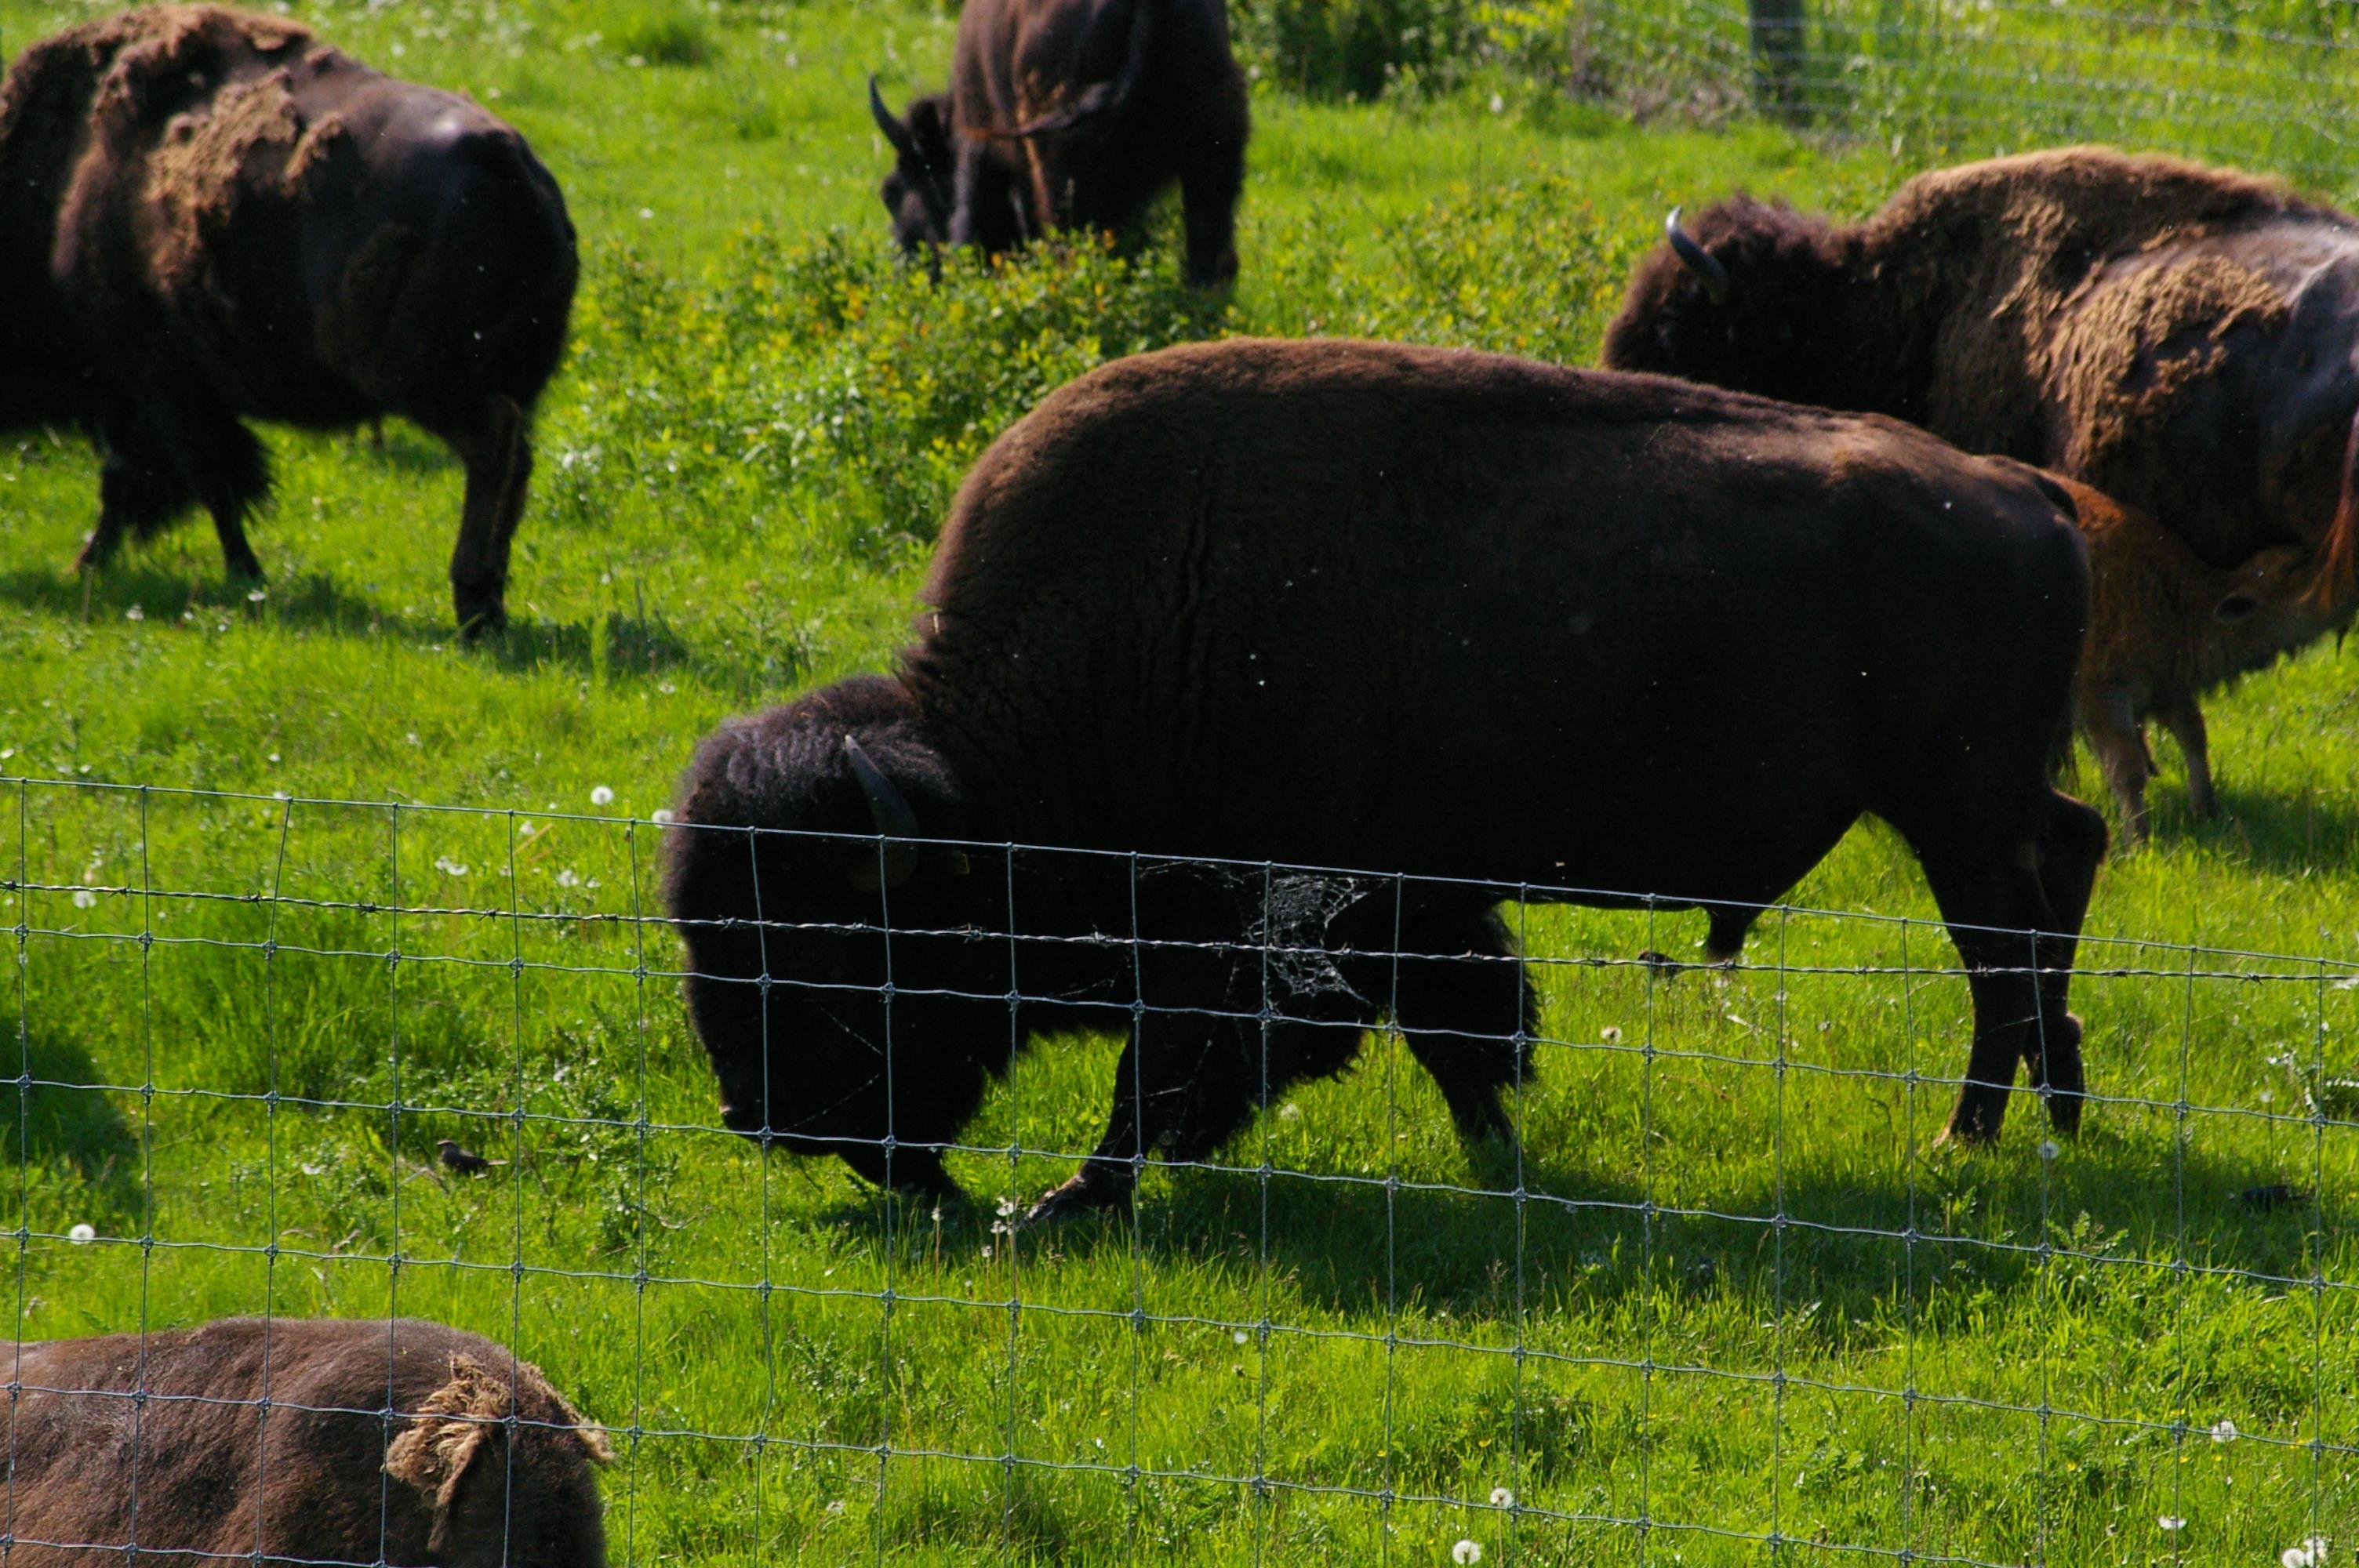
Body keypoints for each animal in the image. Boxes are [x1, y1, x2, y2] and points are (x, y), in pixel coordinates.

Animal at [0, 5, 578, 635]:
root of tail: (505, 160)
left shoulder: (158, 384)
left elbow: (196, 481)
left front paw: (238, 574)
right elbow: (158, 482)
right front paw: (92, 564)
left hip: (422, 381)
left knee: (492, 445)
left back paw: (472, 603)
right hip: (512, 377)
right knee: (517, 461)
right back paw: (491, 604)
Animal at [666, 337, 2106, 1223]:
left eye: (832, 947)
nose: (755, 1114)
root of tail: (2022, 490)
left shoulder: (1251, 929)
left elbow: (1173, 1072)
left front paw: (1067, 1200)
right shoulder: (1415, 897)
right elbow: (1458, 1029)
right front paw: (1499, 1159)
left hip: (1952, 813)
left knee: (2000, 958)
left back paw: (1965, 1142)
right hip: (1977, 809)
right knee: (2063, 875)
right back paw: (2058, 1117)